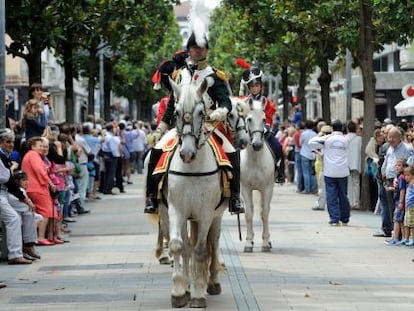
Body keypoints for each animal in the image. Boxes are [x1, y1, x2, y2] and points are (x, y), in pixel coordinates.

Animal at [166, 73, 226, 310]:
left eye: (202, 112)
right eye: (176, 112)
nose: (187, 153)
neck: (192, 169)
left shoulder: (205, 213)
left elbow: (201, 250)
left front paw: (199, 294)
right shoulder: (177, 210)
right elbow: (177, 246)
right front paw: (179, 291)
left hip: (215, 217)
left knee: (213, 243)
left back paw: (212, 282)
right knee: (187, 247)